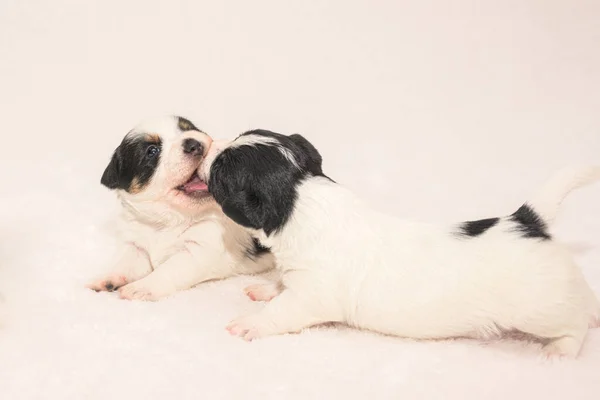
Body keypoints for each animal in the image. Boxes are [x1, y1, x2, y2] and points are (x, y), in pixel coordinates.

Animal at [87, 115, 274, 300]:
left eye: (188, 128)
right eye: (152, 151)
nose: (194, 144)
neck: (169, 220)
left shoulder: (200, 248)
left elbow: (169, 269)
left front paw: (141, 287)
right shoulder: (137, 244)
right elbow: (126, 263)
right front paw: (108, 278)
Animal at [199, 130, 600, 358]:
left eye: (220, 171)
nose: (207, 145)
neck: (303, 195)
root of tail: (525, 221)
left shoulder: (311, 297)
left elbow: (282, 311)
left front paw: (250, 324)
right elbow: (281, 284)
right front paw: (265, 289)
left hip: (543, 310)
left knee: (575, 324)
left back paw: (561, 351)